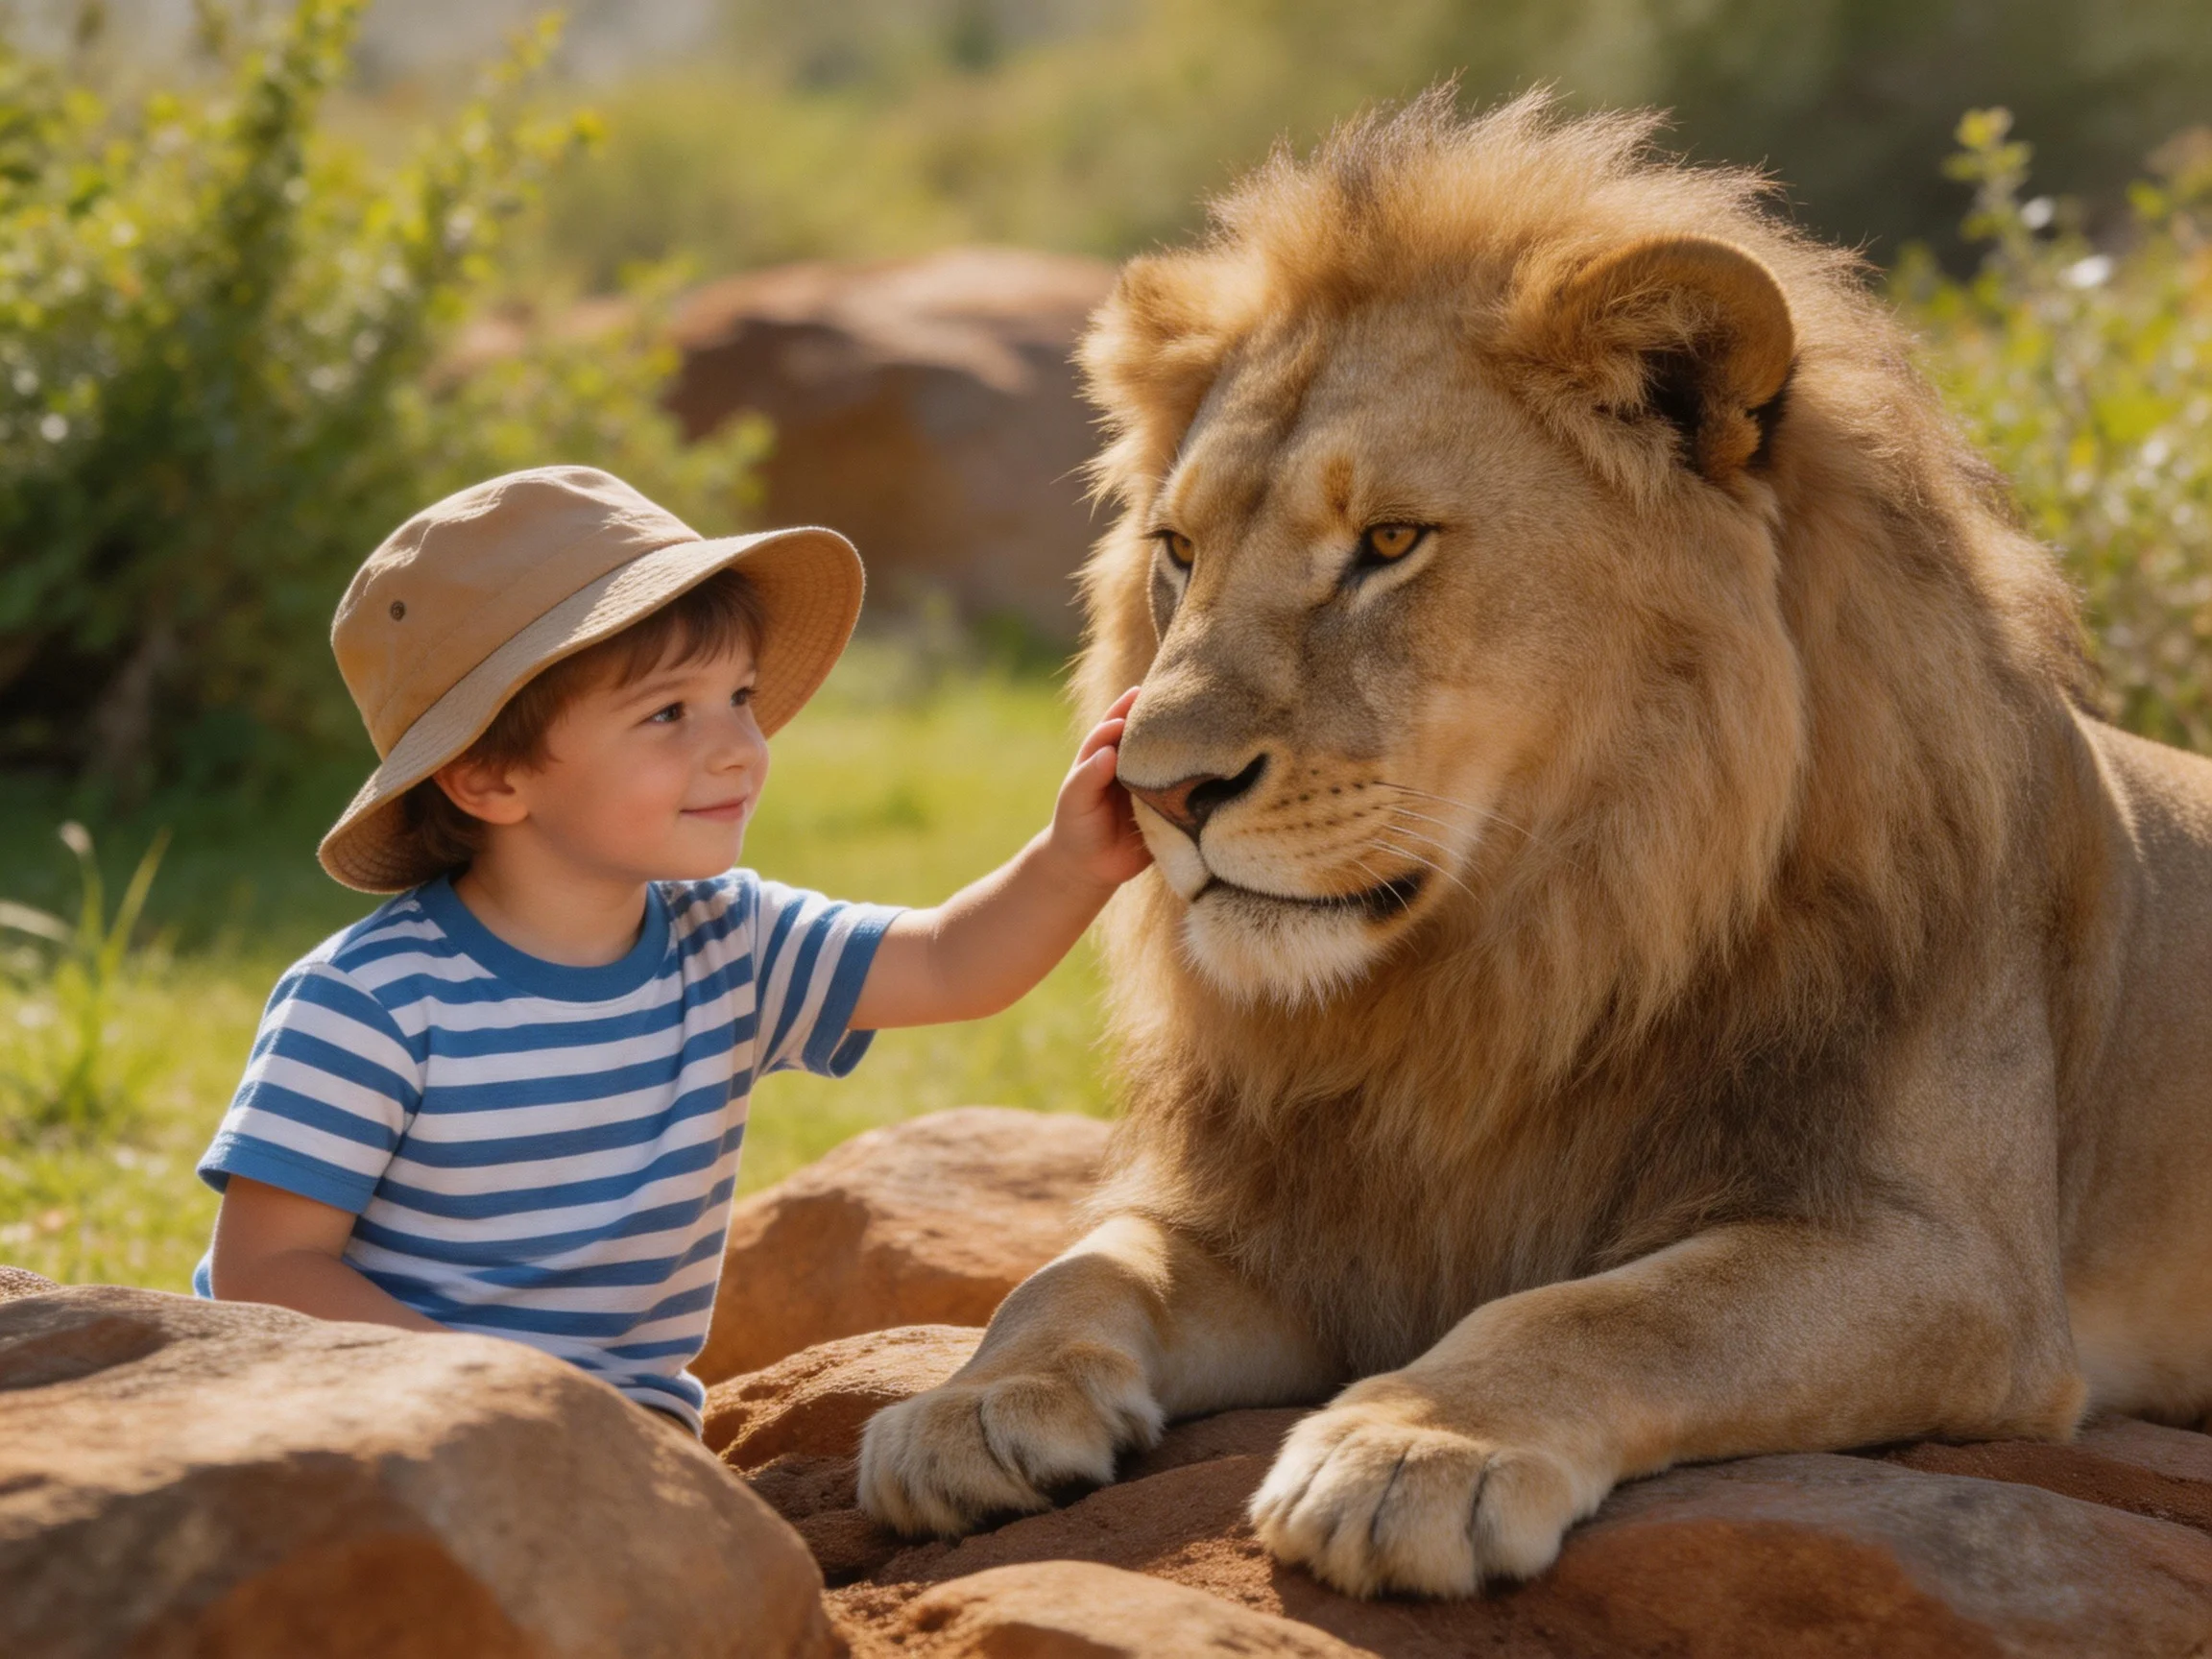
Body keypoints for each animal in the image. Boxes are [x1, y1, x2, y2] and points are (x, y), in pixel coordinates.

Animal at [856, 91, 2212, 1597]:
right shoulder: (1309, 1226)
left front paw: (1410, 1451)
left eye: (1390, 541)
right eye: (1181, 552)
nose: (1158, 791)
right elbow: (1083, 1262)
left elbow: (1617, 1313)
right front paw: (969, 1406)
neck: (1520, 961)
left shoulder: (1955, 1264)